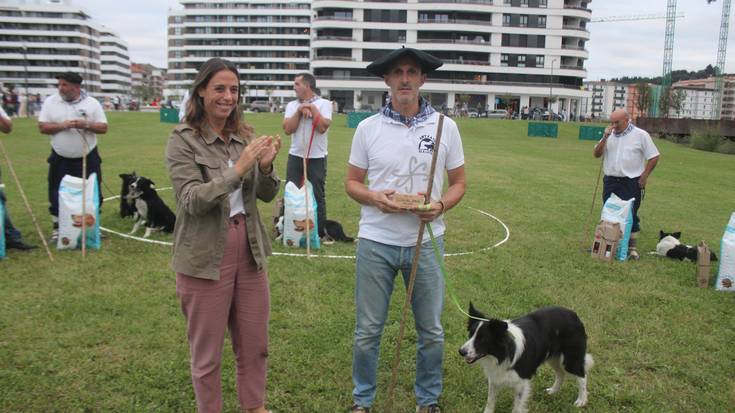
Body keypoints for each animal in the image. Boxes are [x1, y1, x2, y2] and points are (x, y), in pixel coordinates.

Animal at [458, 300, 596, 410]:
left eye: (482, 339)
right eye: (470, 334)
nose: (461, 351)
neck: (504, 353)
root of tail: (574, 315)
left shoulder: (521, 384)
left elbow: (517, 407)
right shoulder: (495, 378)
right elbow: (490, 402)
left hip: (570, 359)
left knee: (582, 376)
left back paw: (581, 400)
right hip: (554, 358)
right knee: (560, 373)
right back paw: (553, 391)